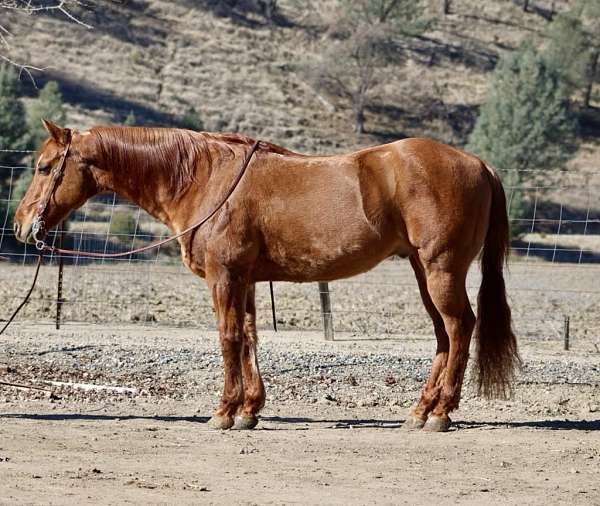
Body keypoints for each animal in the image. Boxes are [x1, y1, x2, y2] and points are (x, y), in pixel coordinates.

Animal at [15, 118, 520, 430]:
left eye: (44, 166)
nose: (22, 225)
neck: (204, 178)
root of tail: (479, 164)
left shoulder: (224, 277)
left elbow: (228, 339)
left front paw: (224, 411)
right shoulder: (246, 280)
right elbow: (250, 338)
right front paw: (249, 410)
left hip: (441, 270)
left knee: (460, 328)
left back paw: (441, 413)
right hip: (422, 272)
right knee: (443, 336)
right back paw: (420, 410)